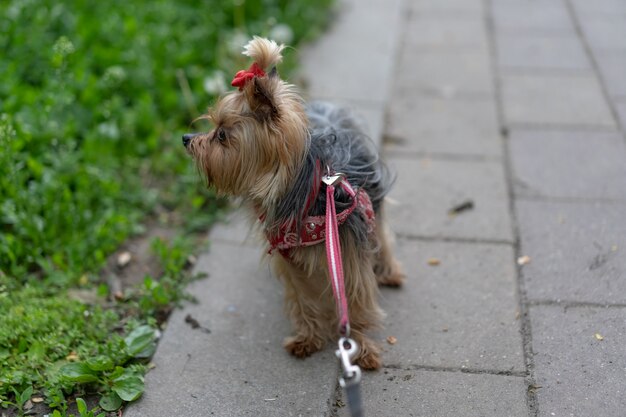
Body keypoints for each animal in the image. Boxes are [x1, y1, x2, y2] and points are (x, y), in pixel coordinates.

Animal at [183, 36, 402, 368]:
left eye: (221, 135)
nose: (186, 139)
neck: (304, 194)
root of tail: (327, 108)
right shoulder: (291, 259)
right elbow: (302, 297)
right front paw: (307, 337)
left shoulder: (348, 249)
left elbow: (356, 298)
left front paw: (361, 347)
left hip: (369, 199)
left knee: (382, 231)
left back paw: (390, 271)